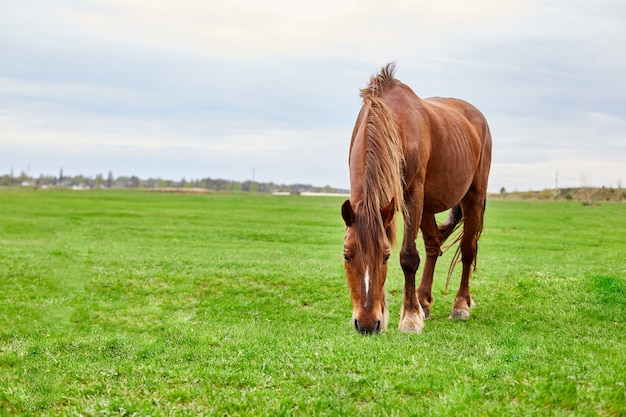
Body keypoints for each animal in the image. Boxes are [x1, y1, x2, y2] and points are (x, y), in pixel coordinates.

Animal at [338, 61, 490, 334]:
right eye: (346, 255)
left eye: (386, 256)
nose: (366, 324)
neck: (393, 121)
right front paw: (401, 311)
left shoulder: (412, 197)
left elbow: (409, 257)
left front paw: (409, 317)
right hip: (427, 207)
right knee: (433, 246)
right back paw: (423, 301)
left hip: (472, 197)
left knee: (467, 249)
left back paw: (460, 305)